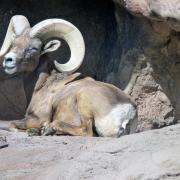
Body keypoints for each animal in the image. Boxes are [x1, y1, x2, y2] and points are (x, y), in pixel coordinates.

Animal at [0, 15, 137, 137]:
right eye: (14, 43)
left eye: (33, 48)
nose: (8, 60)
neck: (42, 85)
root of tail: (128, 111)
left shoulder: (38, 118)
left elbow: (11, 124)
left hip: (83, 99)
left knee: (86, 131)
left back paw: (46, 130)